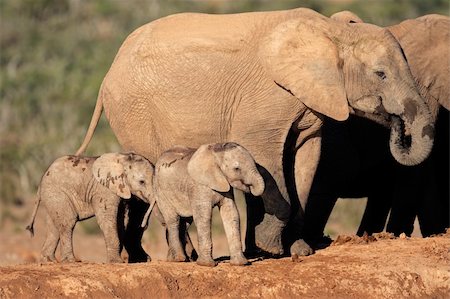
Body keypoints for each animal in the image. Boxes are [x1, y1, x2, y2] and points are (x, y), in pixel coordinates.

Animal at [27, 154, 156, 264]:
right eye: (141, 182)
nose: (144, 225)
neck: (123, 158)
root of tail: (42, 179)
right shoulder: (104, 189)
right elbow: (107, 219)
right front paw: (116, 262)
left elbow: (120, 220)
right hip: (57, 193)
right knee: (68, 223)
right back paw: (70, 261)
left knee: (53, 227)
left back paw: (49, 261)